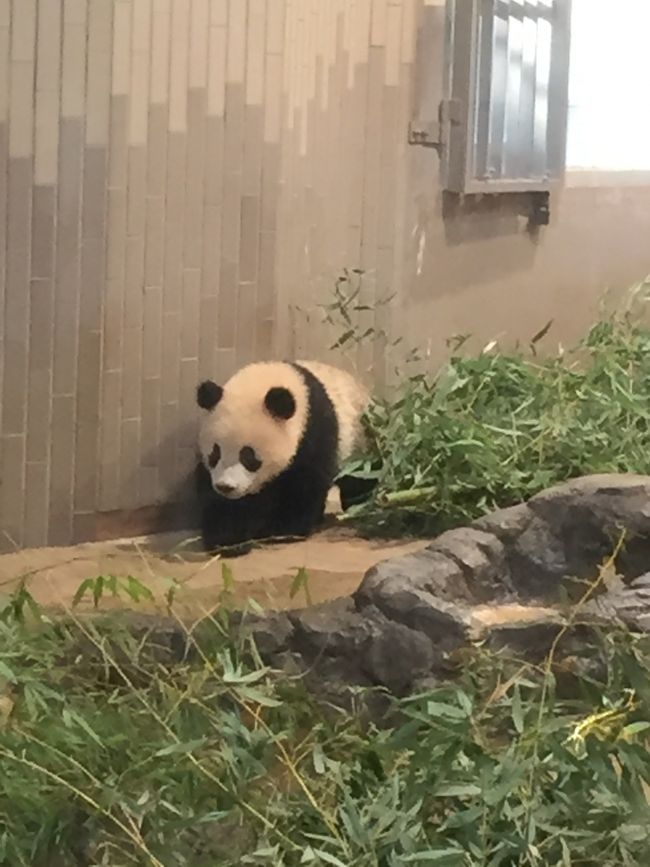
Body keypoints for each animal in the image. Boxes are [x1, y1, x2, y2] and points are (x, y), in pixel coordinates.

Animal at [192, 362, 374, 556]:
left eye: (248, 456)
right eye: (215, 454)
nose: (226, 487)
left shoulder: (315, 432)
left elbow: (304, 485)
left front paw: (282, 529)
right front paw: (228, 539)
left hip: (359, 444)